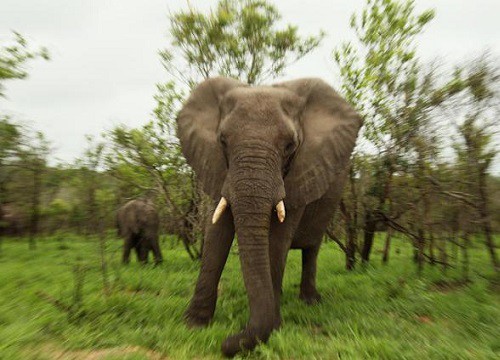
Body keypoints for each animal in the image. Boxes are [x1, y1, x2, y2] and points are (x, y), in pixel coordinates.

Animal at [178, 77, 362, 356]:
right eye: (222, 141)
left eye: (290, 146)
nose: (225, 342)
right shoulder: (218, 168)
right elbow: (216, 236)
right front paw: (194, 325)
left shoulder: (302, 173)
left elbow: (276, 241)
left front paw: (273, 328)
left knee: (312, 249)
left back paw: (310, 302)